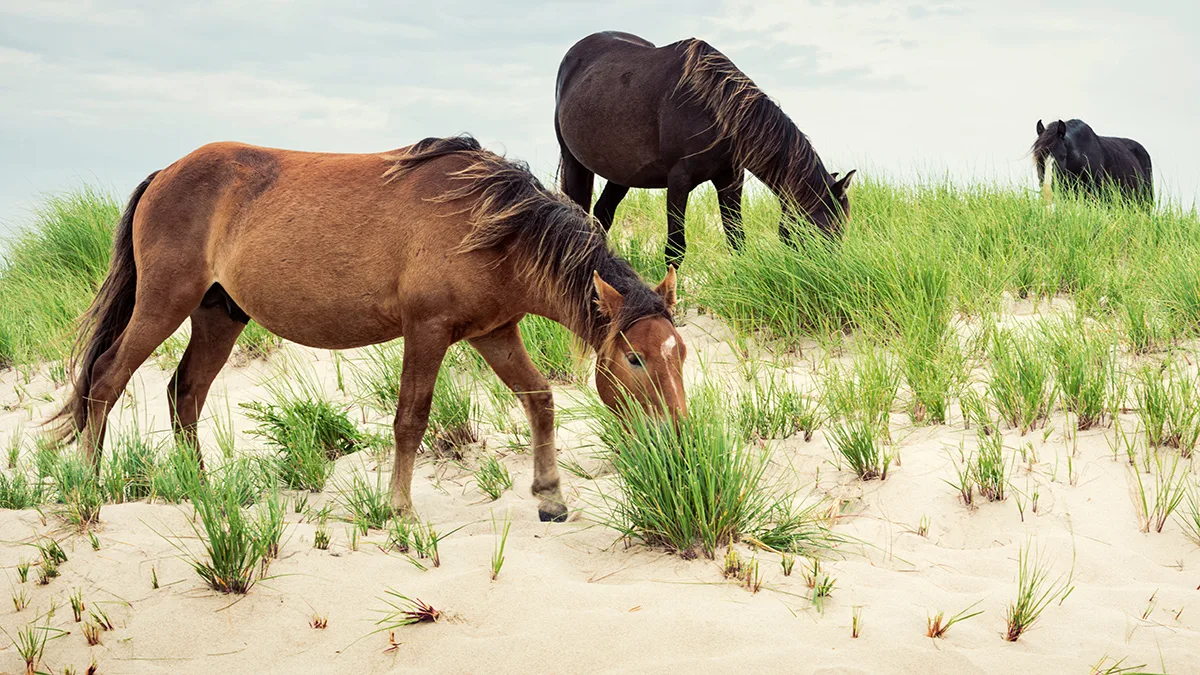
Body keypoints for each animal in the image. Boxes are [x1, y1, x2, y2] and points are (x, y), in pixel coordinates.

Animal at [51, 133, 691, 516]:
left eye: (680, 354)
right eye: (635, 358)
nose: (680, 441)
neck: (492, 225)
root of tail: (166, 173)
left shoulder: (494, 333)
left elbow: (540, 399)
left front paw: (550, 495)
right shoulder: (427, 330)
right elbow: (411, 420)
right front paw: (399, 509)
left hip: (217, 316)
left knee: (185, 393)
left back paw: (201, 492)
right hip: (163, 303)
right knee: (106, 380)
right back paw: (90, 488)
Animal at [556, 31, 859, 266]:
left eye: (841, 228)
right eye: (823, 229)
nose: (826, 273)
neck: (713, 107)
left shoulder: (730, 180)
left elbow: (736, 240)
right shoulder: (678, 182)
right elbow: (675, 249)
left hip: (622, 173)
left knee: (602, 214)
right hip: (575, 163)